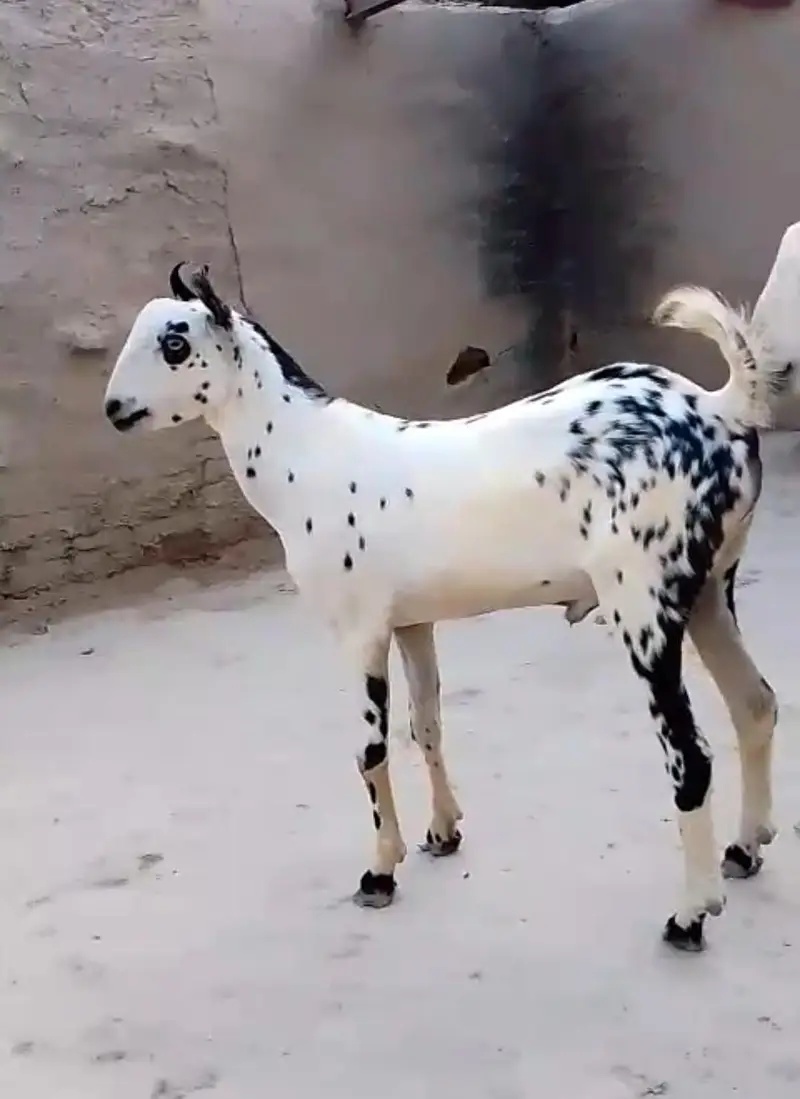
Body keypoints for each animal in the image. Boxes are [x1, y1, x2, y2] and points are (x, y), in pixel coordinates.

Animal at [103, 228, 797, 952]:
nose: (115, 409)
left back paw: (690, 914)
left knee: (691, 759)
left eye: (175, 343)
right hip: (711, 589)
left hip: (645, 604)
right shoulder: (412, 622)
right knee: (755, 704)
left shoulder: (357, 628)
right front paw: (442, 832)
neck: (310, 456)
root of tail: (719, 406)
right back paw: (744, 849)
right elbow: (426, 725)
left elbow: (371, 748)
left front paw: (380, 871)